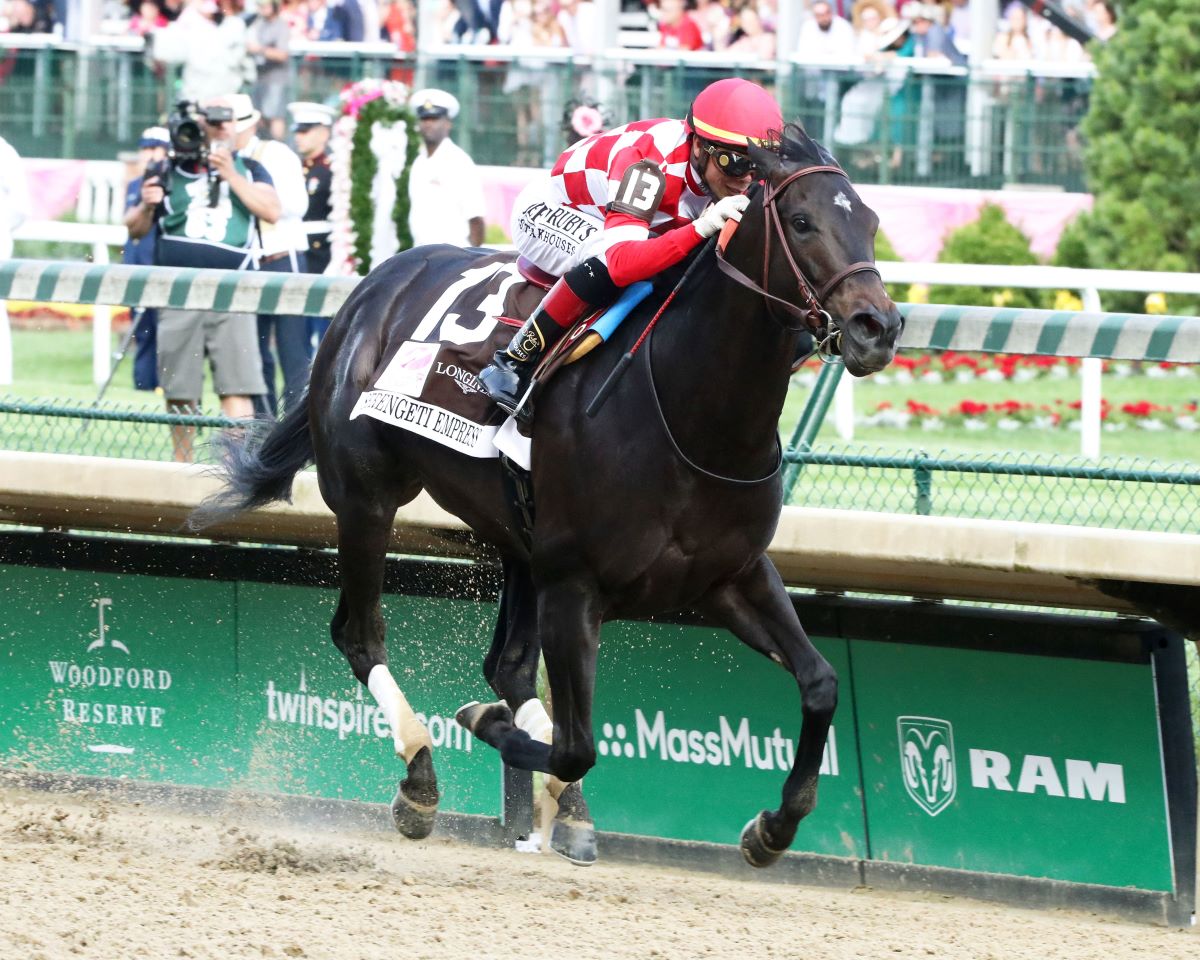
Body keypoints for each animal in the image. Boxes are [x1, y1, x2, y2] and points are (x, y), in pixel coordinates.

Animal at [192, 123, 902, 864]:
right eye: (801, 222)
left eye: (871, 222)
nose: (877, 328)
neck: (691, 416)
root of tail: (372, 287)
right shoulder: (575, 582)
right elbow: (574, 746)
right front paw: (486, 729)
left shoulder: (730, 575)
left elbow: (820, 685)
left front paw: (773, 827)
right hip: (367, 500)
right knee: (361, 636)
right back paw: (420, 775)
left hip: (517, 540)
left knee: (505, 666)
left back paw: (563, 807)